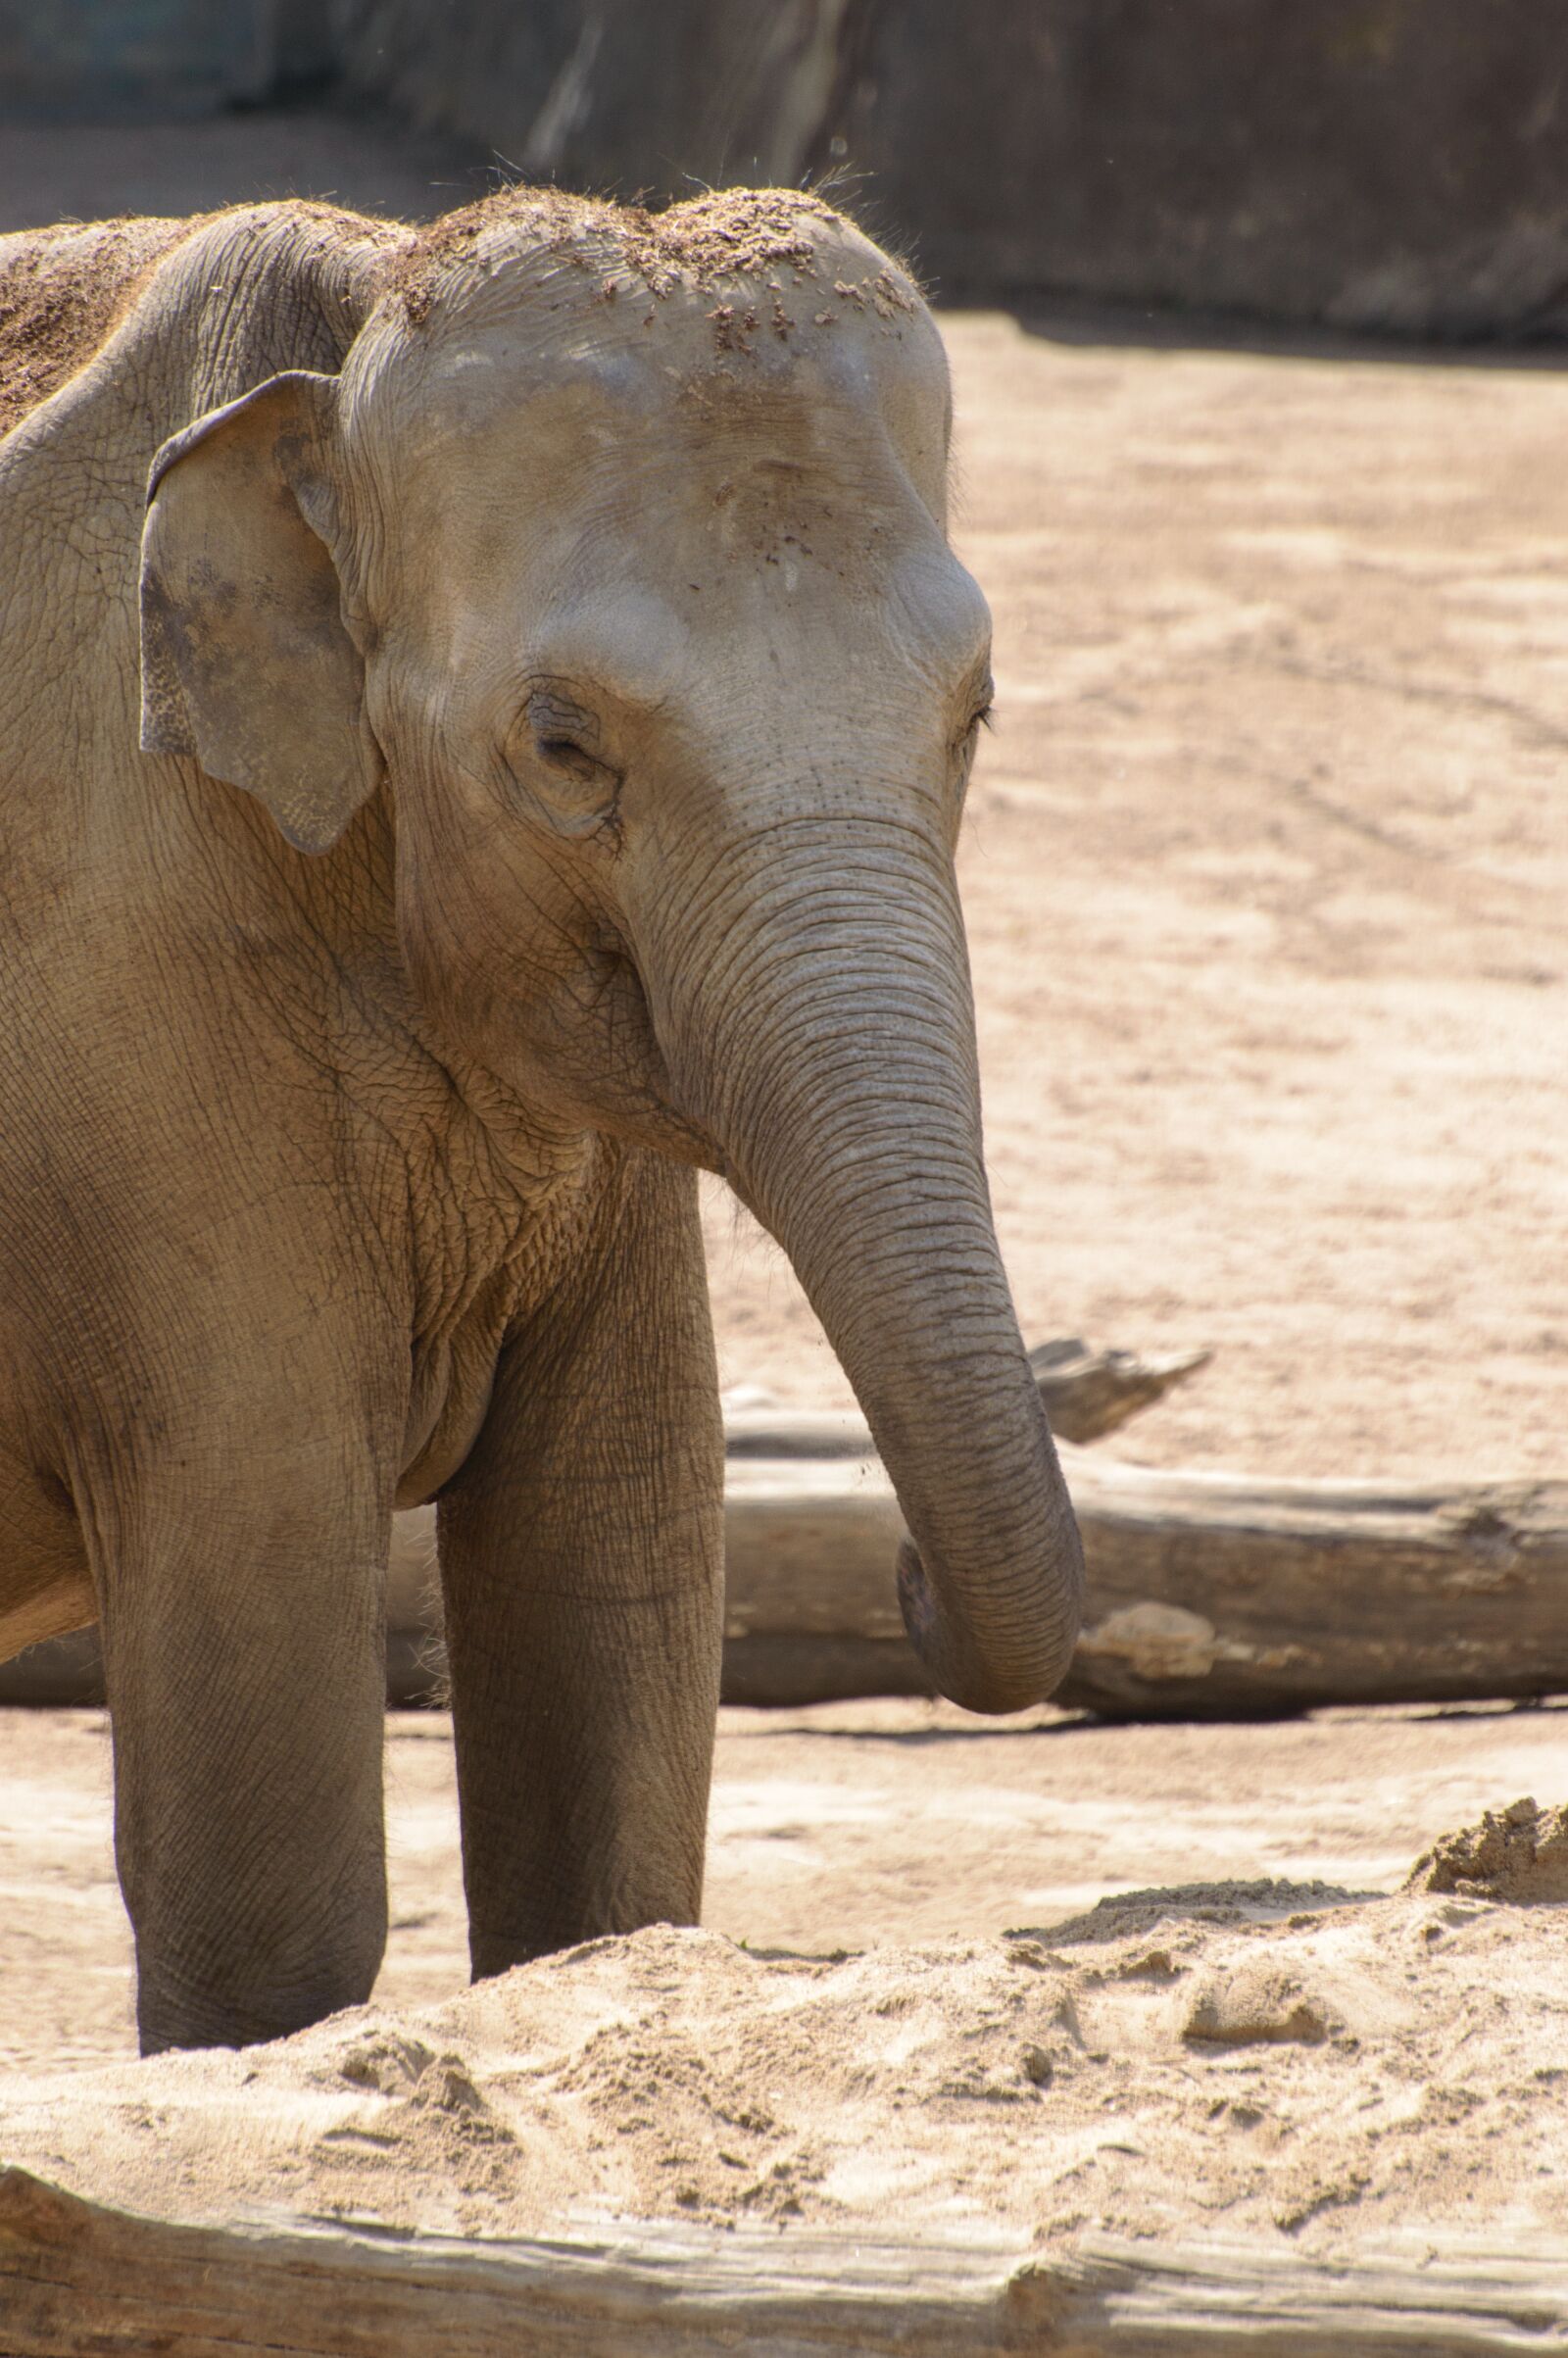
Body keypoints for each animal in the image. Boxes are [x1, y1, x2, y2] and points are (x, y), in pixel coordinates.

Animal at [0, 185, 1084, 2054]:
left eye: (979, 707)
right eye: (566, 745)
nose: (903, 1579)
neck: (356, 309)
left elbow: (611, 1602)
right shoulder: (131, 1016)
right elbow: (264, 1852)